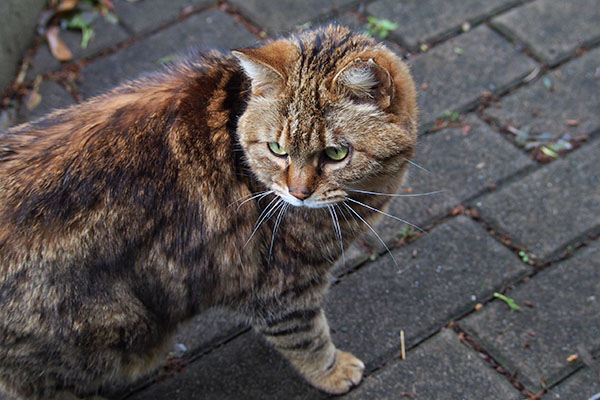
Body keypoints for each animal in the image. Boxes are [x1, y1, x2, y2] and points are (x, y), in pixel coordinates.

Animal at [0, 25, 418, 400]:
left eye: (336, 153)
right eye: (277, 149)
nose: (298, 193)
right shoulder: (279, 290)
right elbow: (307, 340)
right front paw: (333, 372)